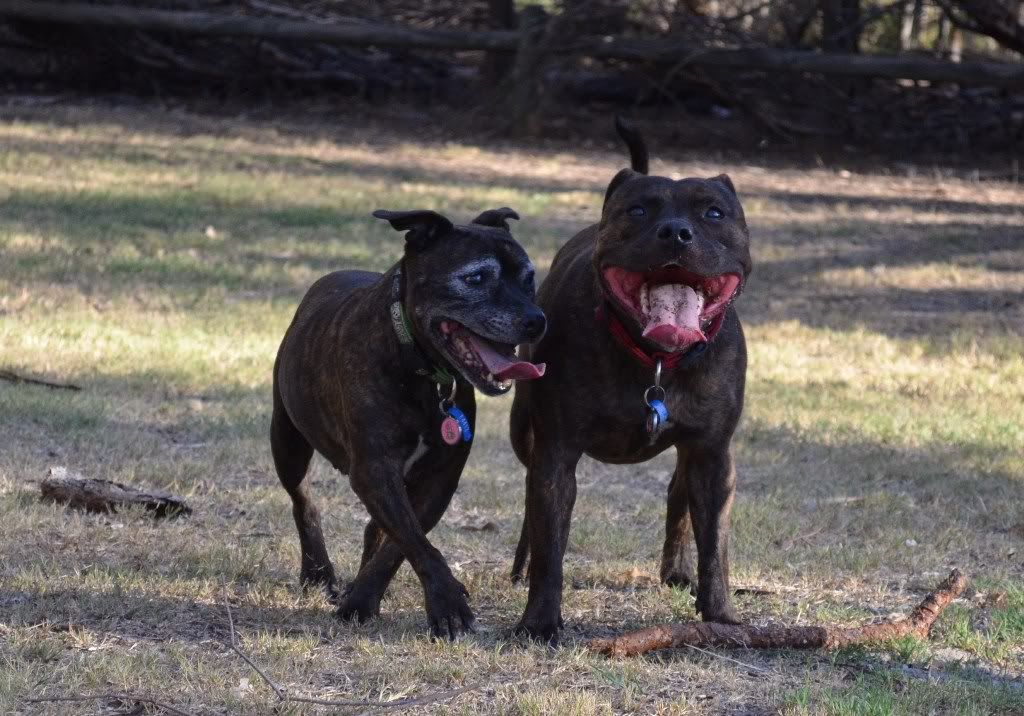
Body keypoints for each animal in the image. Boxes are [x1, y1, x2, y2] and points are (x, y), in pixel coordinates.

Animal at [270, 206, 544, 639]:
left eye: (529, 278)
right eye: (476, 278)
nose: (537, 320)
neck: (422, 368)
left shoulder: (438, 478)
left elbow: (401, 542)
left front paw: (364, 597)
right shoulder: (375, 470)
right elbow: (415, 540)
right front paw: (445, 603)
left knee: (376, 531)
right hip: (287, 442)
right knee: (304, 502)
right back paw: (318, 573)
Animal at [509, 123, 753, 643]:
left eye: (714, 213)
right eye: (638, 210)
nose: (676, 231)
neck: (656, 359)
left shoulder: (713, 454)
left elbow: (715, 547)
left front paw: (720, 616)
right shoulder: (557, 452)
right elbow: (550, 545)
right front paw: (540, 622)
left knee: (678, 495)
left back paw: (677, 571)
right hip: (524, 432)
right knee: (529, 500)